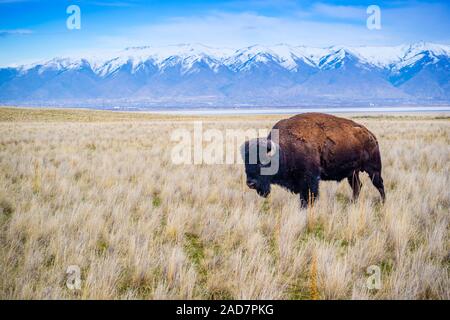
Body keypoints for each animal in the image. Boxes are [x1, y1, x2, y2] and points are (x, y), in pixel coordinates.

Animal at [241, 112, 384, 208]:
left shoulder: (310, 180)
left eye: (262, 163)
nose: (250, 183)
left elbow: (308, 197)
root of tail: (370, 135)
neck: (283, 148)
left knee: (379, 184)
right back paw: (353, 203)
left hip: (373, 169)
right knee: (357, 186)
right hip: (352, 173)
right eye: (246, 163)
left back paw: (383, 202)